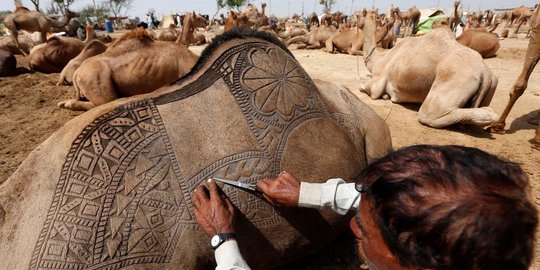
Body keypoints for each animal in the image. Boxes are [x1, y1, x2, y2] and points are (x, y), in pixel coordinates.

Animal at [57, 11, 205, 110]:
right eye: (198, 17)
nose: (206, 21)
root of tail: (76, 74)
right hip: (94, 80)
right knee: (105, 102)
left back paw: (63, 103)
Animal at [356, 8, 500, 129]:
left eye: (357, 16)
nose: (354, 20)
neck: (378, 58)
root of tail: (485, 73)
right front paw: (386, 95)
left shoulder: (377, 83)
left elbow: (363, 87)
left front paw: (383, 95)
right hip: (493, 82)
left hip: (456, 79)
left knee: (430, 114)